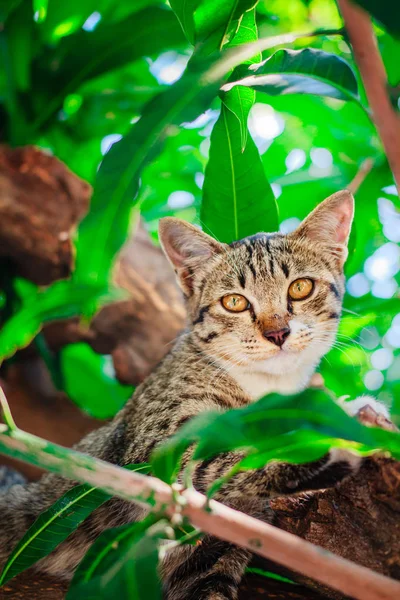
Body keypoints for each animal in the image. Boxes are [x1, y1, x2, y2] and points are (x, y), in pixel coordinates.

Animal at [0, 192, 368, 600]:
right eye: (235, 302)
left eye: (300, 288)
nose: (277, 333)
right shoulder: (160, 451)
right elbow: (234, 459)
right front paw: (332, 435)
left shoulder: (207, 555)